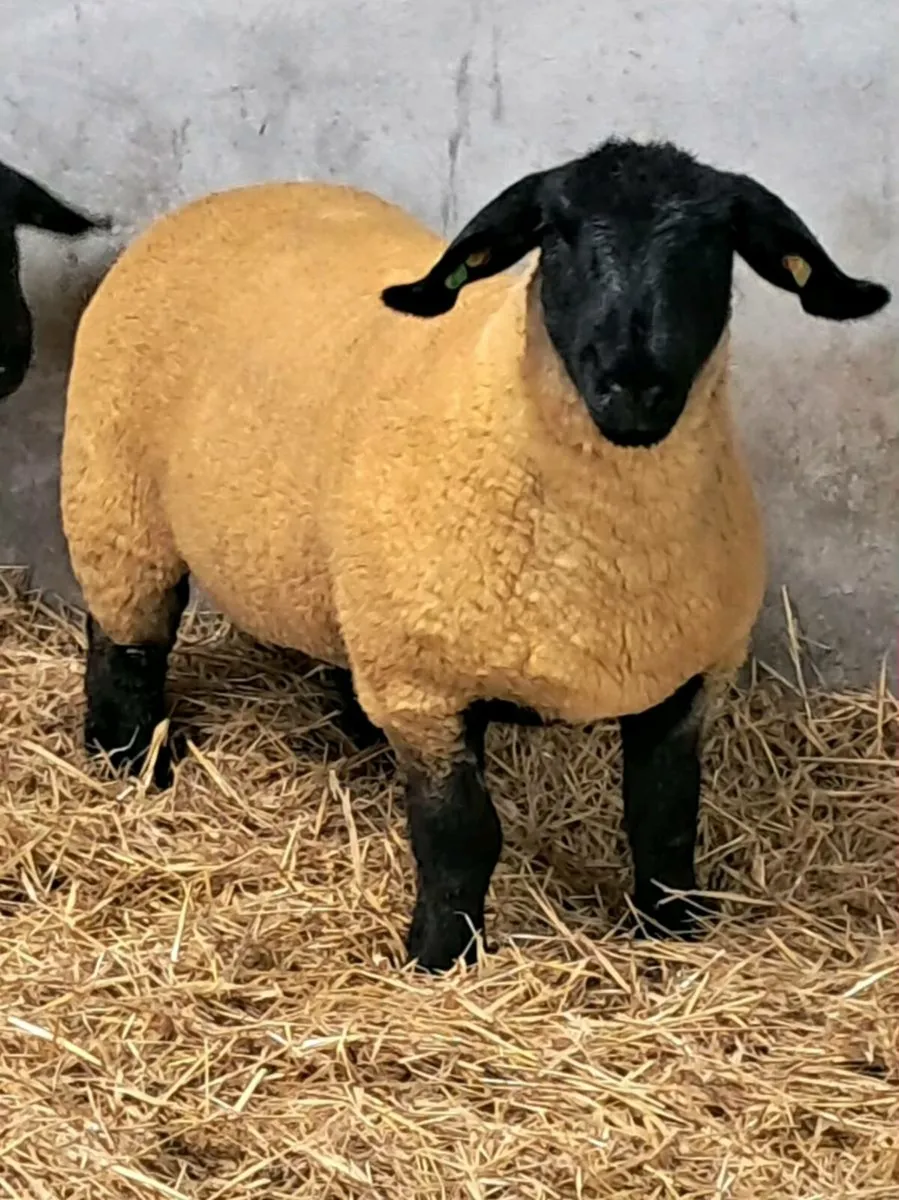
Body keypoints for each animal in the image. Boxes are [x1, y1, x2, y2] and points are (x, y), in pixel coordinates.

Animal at [60, 138, 891, 972]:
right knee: (125, 646)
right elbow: (460, 838)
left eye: (715, 243)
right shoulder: (426, 689)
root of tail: (241, 193)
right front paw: (440, 956)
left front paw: (674, 929)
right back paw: (129, 763)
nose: (632, 385)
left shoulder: (688, 679)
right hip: (114, 501)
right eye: (555, 234)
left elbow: (664, 817)